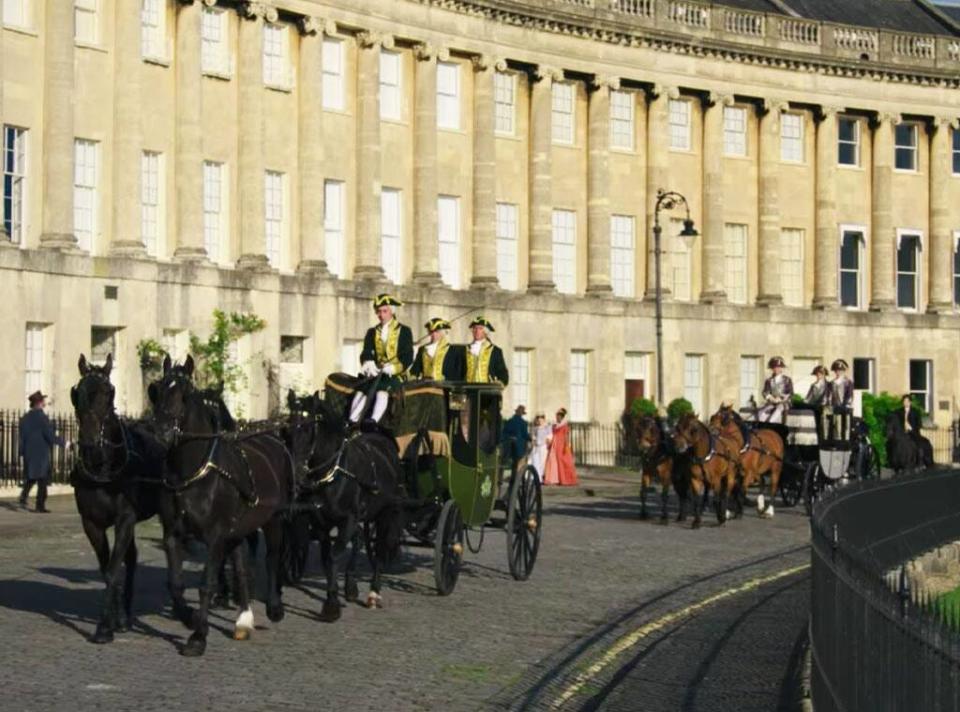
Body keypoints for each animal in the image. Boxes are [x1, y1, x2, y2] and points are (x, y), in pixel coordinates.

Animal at [147, 356, 292, 656]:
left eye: (185, 394)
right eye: (156, 390)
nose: (161, 432)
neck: (190, 473)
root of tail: (272, 439)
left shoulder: (215, 537)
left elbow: (206, 584)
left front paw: (199, 636)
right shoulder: (173, 534)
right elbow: (175, 583)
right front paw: (188, 617)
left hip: (274, 519)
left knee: (272, 558)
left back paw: (274, 607)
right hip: (238, 529)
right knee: (241, 568)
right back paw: (243, 619)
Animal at [286, 392, 404, 620]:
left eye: (308, 428)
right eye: (287, 426)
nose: (295, 475)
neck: (332, 474)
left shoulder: (347, 520)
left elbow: (333, 557)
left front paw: (331, 605)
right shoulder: (321, 524)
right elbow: (326, 559)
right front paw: (333, 598)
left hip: (385, 514)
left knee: (380, 548)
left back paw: (374, 593)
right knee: (358, 539)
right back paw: (351, 586)